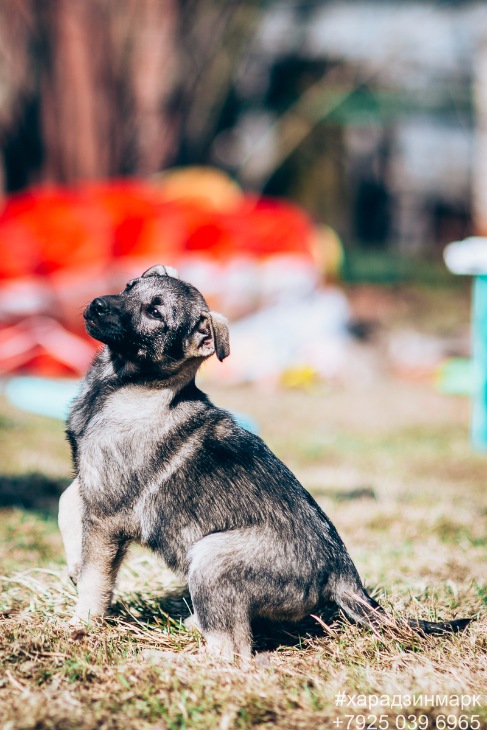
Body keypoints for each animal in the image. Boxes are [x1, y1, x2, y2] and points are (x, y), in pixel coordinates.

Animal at [58, 264, 470, 661]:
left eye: (155, 313)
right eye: (129, 287)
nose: (96, 304)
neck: (125, 389)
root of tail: (341, 573)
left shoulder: (108, 515)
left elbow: (97, 578)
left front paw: (81, 622)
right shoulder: (90, 483)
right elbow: (67, 503)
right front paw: (73, 562)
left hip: (212, 556)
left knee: (232, 652)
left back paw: (165, 657)